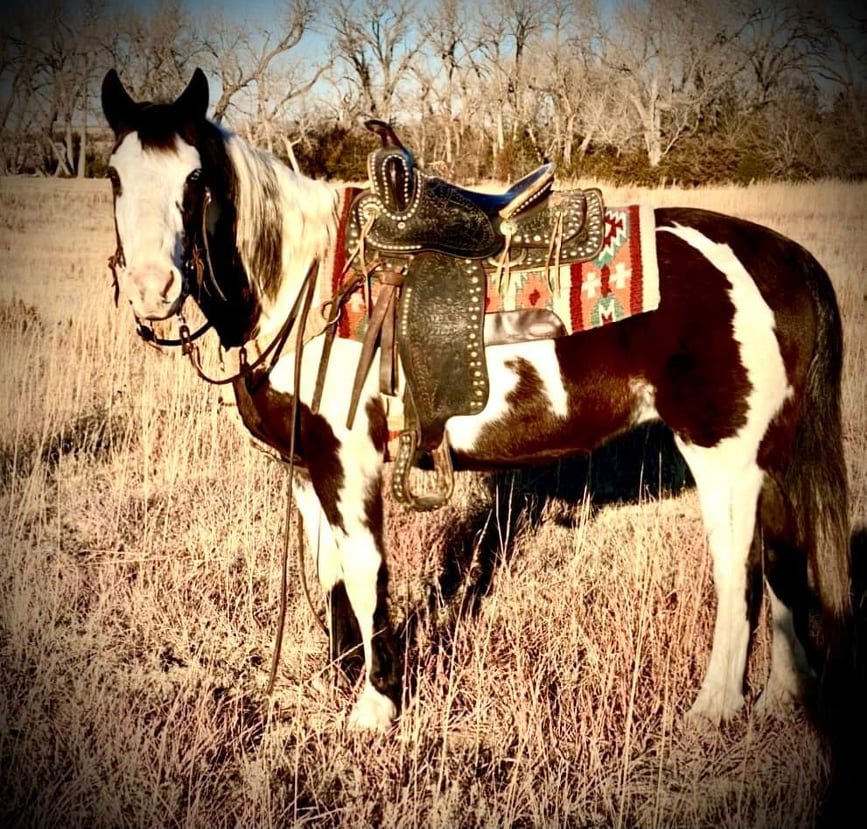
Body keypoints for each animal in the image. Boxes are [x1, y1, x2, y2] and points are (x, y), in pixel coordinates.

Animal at [100, 68, 852, 734]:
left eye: (194, 178)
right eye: (114, 176)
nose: (151, 289)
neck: (305, 279)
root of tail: (779, 256)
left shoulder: (350, 462)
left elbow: (366, 571)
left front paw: (374, 706)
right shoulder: (305, 468)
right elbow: (331, 572)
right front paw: (341, 680)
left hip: (723, 455)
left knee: (741, 572)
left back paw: (714, 709)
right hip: (768, 457)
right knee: (784, 565)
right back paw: (782, 701)